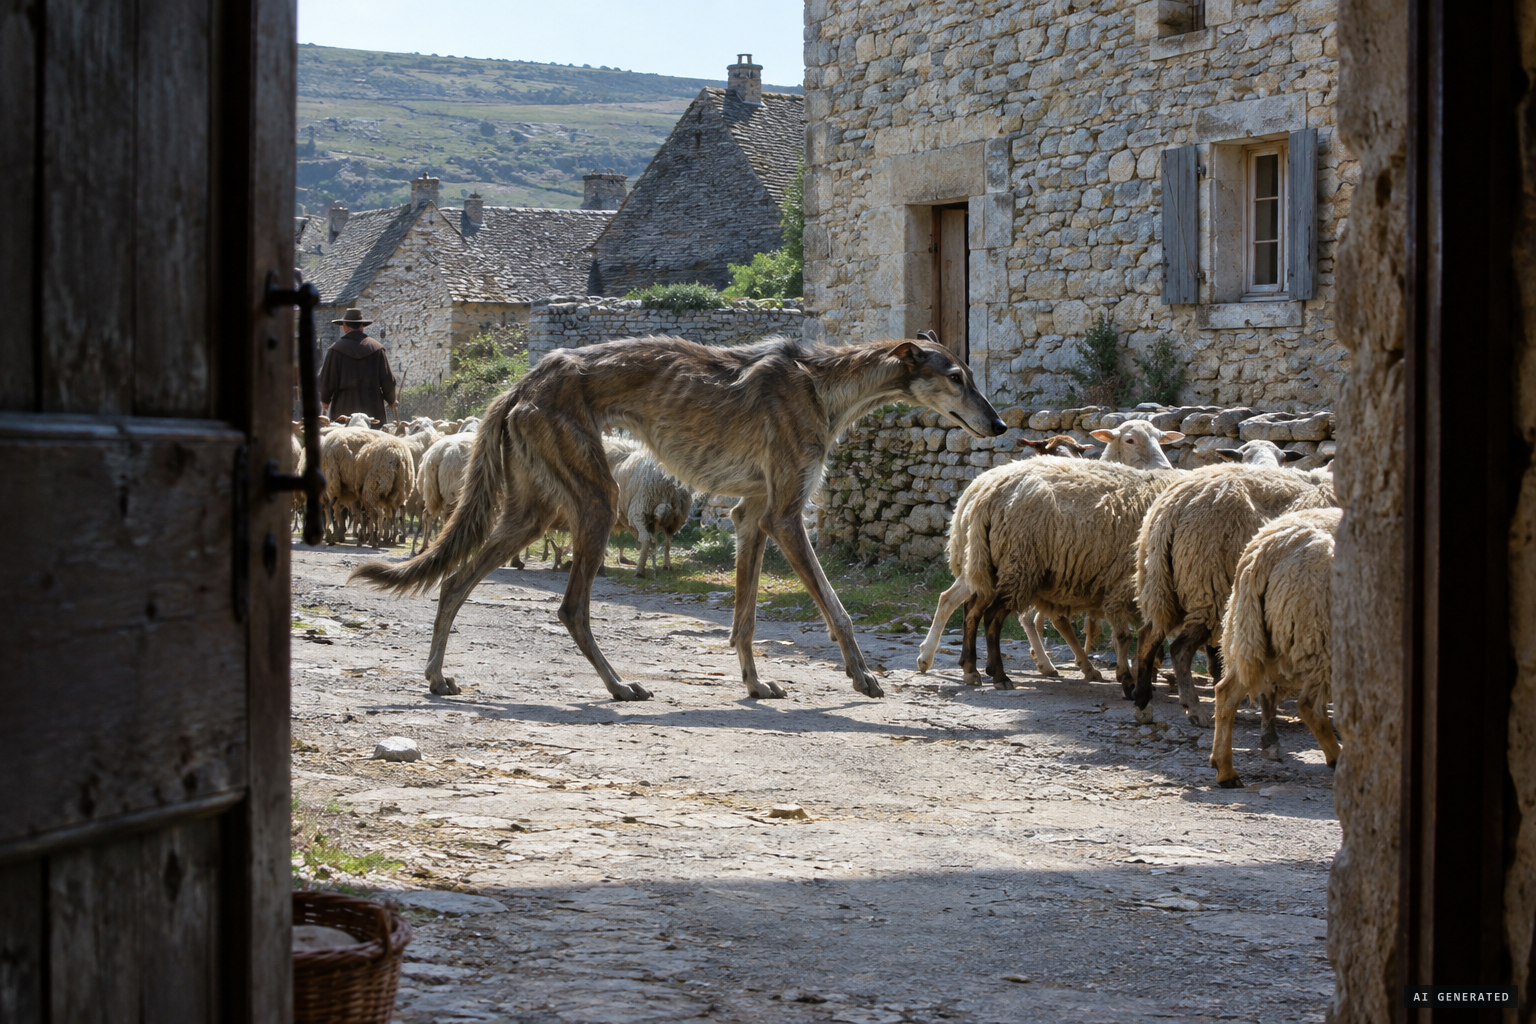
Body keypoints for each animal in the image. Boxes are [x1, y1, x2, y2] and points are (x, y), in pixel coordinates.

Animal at [352, 332, 1006, 700]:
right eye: (955, 377)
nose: (999, 425)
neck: (821, 386)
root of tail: (524, 382)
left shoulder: (751, 515)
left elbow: (745, 618)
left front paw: (755, 684)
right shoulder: (785, 516)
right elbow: (835, 608)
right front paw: (861, 676)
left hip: (530, 513)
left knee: (454, 583)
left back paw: (437, 678)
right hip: (595, 501)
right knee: (569, 609)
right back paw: (618, 686)